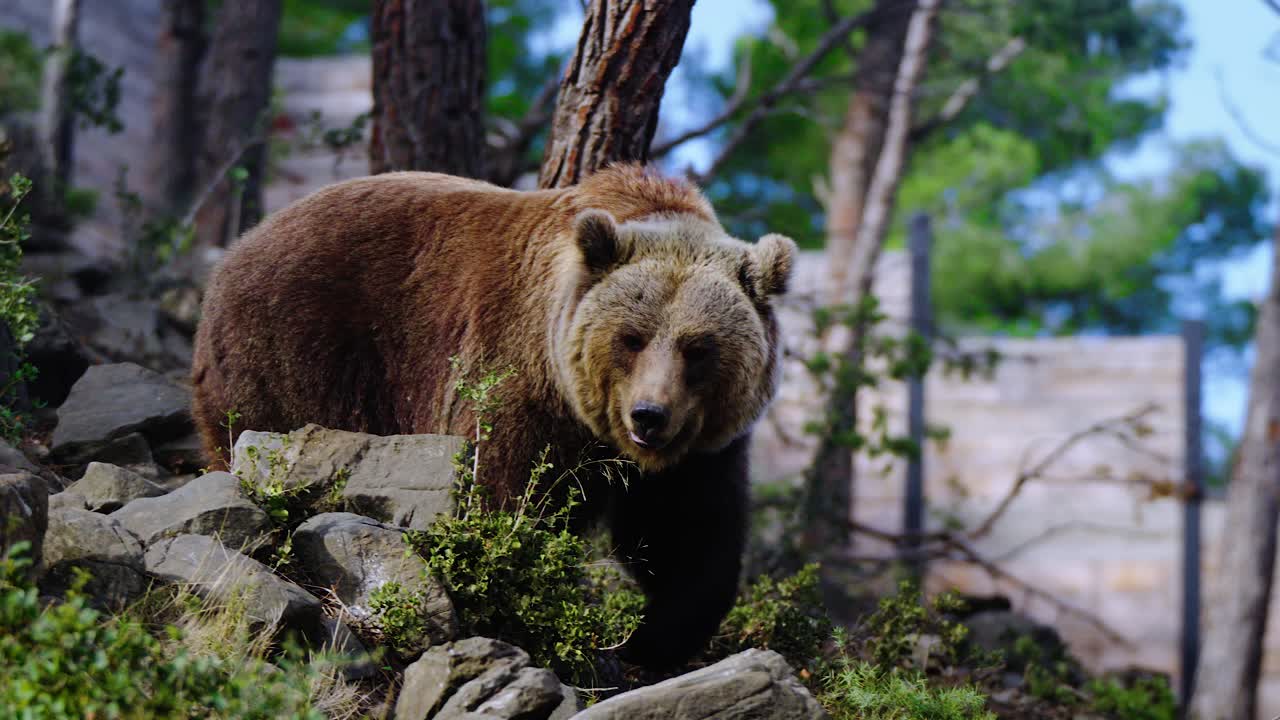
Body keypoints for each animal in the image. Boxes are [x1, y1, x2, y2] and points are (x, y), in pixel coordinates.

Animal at [190, 164, 796, 668]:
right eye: (632, 337)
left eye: (698, 347)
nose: (649, 415)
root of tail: (241, 244)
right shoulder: (520, 384)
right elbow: (506, 502)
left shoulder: (701, 448)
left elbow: (688, 536)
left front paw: (654, 639)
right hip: (297, 348)